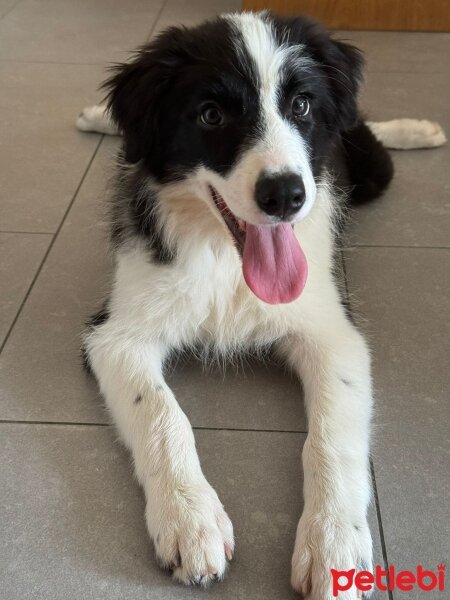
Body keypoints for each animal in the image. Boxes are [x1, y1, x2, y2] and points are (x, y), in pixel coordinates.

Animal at [77, 10, 446, 600]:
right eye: (210, 114)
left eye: (301, 106)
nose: (286, 196)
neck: (226, 258)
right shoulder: (114, 332)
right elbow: (160, 413)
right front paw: (190, 521)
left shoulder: (333, 331)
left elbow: (331, 435)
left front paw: (333, 545)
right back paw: (98, 118)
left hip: (370, 172)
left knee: (366, 130)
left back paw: (417, 129)